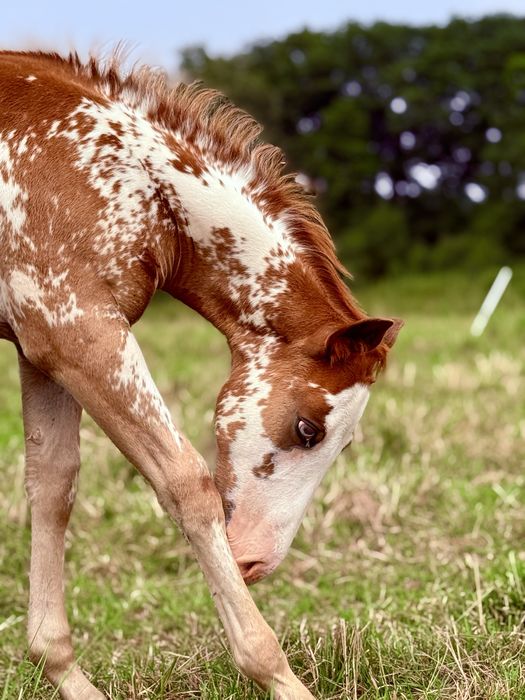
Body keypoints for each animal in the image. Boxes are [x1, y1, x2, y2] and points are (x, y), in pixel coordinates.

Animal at [0, 50, 402, 699]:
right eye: (308, 429)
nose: (256, 562)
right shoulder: (77, 329)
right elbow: (187, 483)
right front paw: (278, 675)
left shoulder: (41, 346)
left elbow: (53, 485)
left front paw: (58, 666)